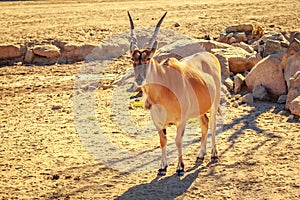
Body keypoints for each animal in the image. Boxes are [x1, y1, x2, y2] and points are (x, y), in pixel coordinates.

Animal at [127, 11, 221, 176]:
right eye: (133, 58)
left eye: (148, 58)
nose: (139, 79)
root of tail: (211, 57)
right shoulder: (158, 122)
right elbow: (162, 140)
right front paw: (162, 166)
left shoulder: (181, 121)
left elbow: (178, 140)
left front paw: (180, 167)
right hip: (200, 110)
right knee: (205, 123)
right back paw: (200, 154)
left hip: (215, 104)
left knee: (213, 125)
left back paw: (214, 154)